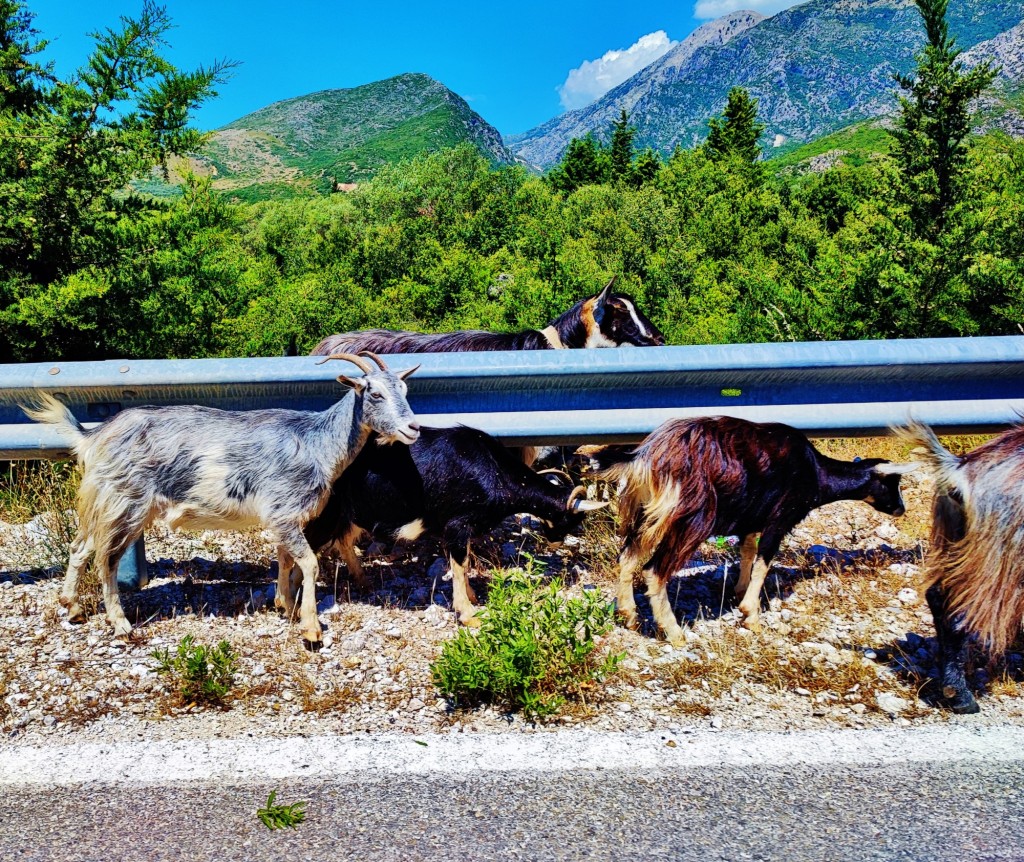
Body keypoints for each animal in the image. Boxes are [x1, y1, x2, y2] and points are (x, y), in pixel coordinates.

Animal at [23, 350, 419, 647]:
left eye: (404, 388)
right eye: (374, 392)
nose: (413, 428)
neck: (316, 441)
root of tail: (93, 437)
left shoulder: (283, 518)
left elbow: (285, 559)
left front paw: (284, 605)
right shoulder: (284, 510)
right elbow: (308, 563)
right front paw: (310, 628)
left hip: (106, 504)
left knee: (81, 548)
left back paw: (72, 606)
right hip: (127, 503)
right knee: (106, 559)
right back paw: (120, 624)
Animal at [276, 425, 606, 622]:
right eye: (573, 519)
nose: (556, 542)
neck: (493, 470)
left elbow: (462, 562)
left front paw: (471, 596)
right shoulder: (457, 525)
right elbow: (459, 564)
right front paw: (468, 612)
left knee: (329, 542)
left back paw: (355, 582)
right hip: (326, 512)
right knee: (296, 547)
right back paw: (286, 602)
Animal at [589, 415, 917, 647]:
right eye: (892, 483)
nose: (901, 510)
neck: (815, 472)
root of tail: (646, 456)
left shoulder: (749, 520)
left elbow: (747, 553)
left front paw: (738, 591)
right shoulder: (779, 519)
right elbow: (764, 562)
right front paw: (751, 615)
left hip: (647, 514)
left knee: (627, 558)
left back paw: (629, 616)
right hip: (691, 520)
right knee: (654, 570)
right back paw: (673, 632)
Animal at [897, 417, 1024, 712]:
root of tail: (959, 470)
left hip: (955, 536)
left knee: (938, 596)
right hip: (1001, 552)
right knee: (962, 610)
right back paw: (961, 696)